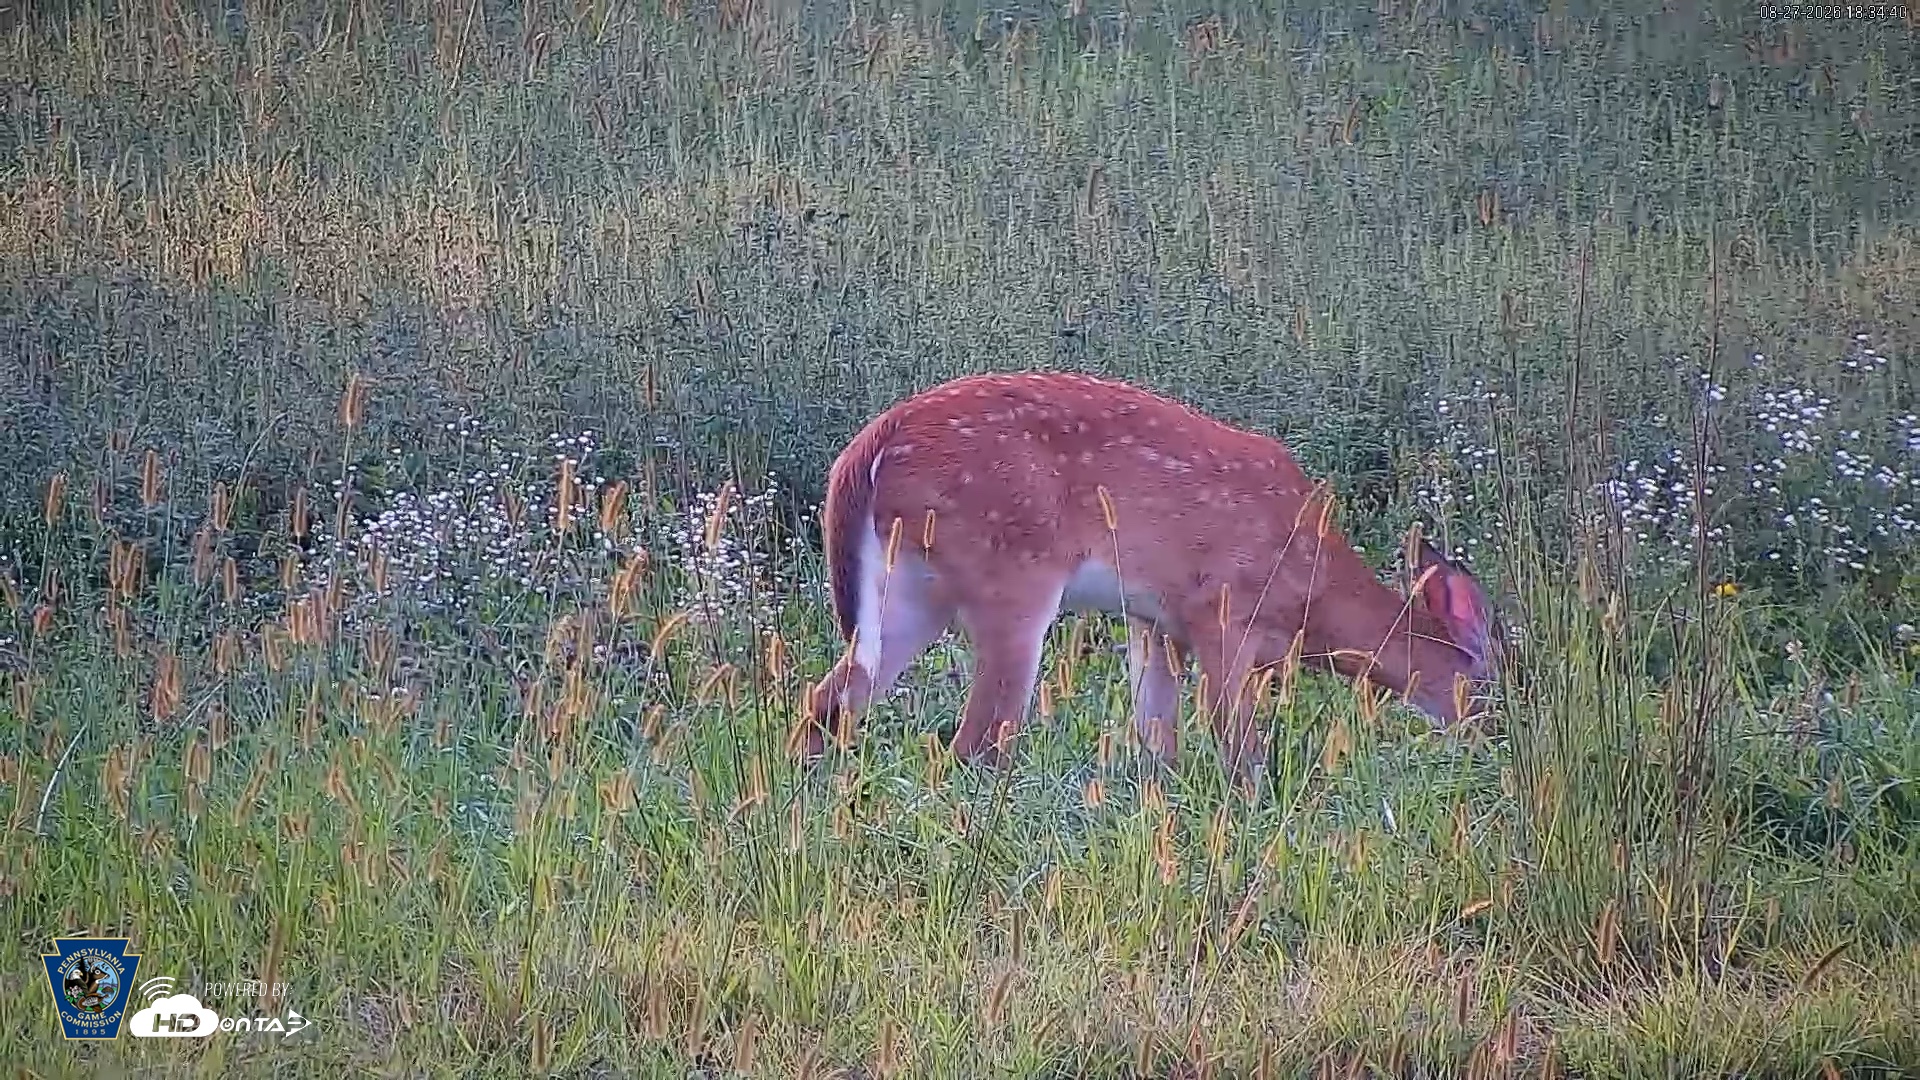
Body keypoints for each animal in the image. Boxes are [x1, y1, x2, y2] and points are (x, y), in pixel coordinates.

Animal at [801, 372, 1500, 786]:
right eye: (1499, 680)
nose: (1500, 740)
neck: (1313, 594)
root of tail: (869, 446)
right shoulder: (1221, 608)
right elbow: (1235, 740)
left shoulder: (1156, 621)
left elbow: (1156, 736)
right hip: (1011, 574)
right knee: (978, 740)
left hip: (910, 592)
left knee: (829, 701)